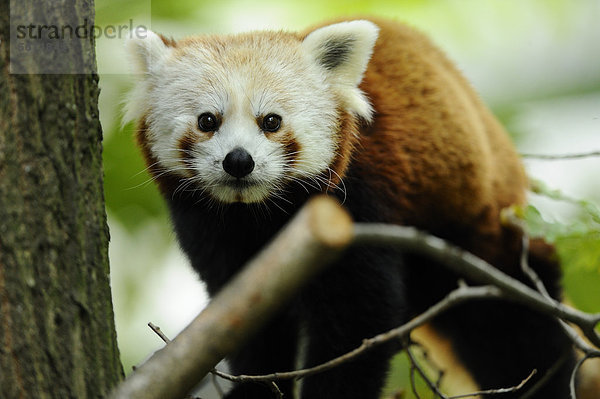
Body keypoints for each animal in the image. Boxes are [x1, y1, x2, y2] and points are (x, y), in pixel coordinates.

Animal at [124, 17, 588, 398]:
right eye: (208, 121)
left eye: (271, 121)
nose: (239, 161)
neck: (257, 212)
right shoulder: (214, 234)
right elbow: (250, 326)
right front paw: (255, 388)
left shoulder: (360, 206)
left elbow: (357, 322)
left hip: (481, 229)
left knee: (516, 328)